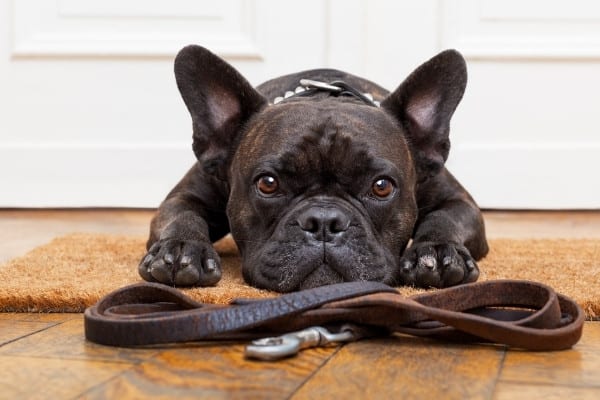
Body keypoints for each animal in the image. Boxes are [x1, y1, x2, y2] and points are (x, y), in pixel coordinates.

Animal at [138, 45, 490, 292]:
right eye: (268, 184)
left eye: (382, 186)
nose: (323, 221)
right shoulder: (184, 197)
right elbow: (183, 215)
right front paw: (182, 249)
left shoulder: (460, 202)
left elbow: (444, 218)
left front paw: (439, 252)